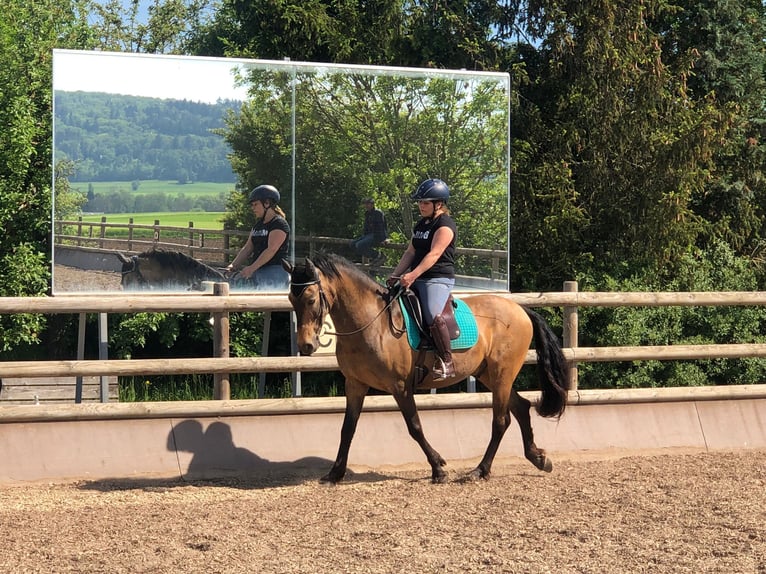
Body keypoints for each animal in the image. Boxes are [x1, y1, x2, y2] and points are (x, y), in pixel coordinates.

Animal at [284, 254, 572, 484]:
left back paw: (480, 470)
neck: (371, 324)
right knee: (521, 407)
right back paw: (538, 458)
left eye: (311, 299)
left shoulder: (399, 386)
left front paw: (438, 467)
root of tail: (520, 309)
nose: (306, 345)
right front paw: (335, 473)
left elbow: (414, 427)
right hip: (489, 375)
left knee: (500, 421)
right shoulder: (355, 384)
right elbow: (347, 429)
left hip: (502, 375)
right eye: (290, 299)